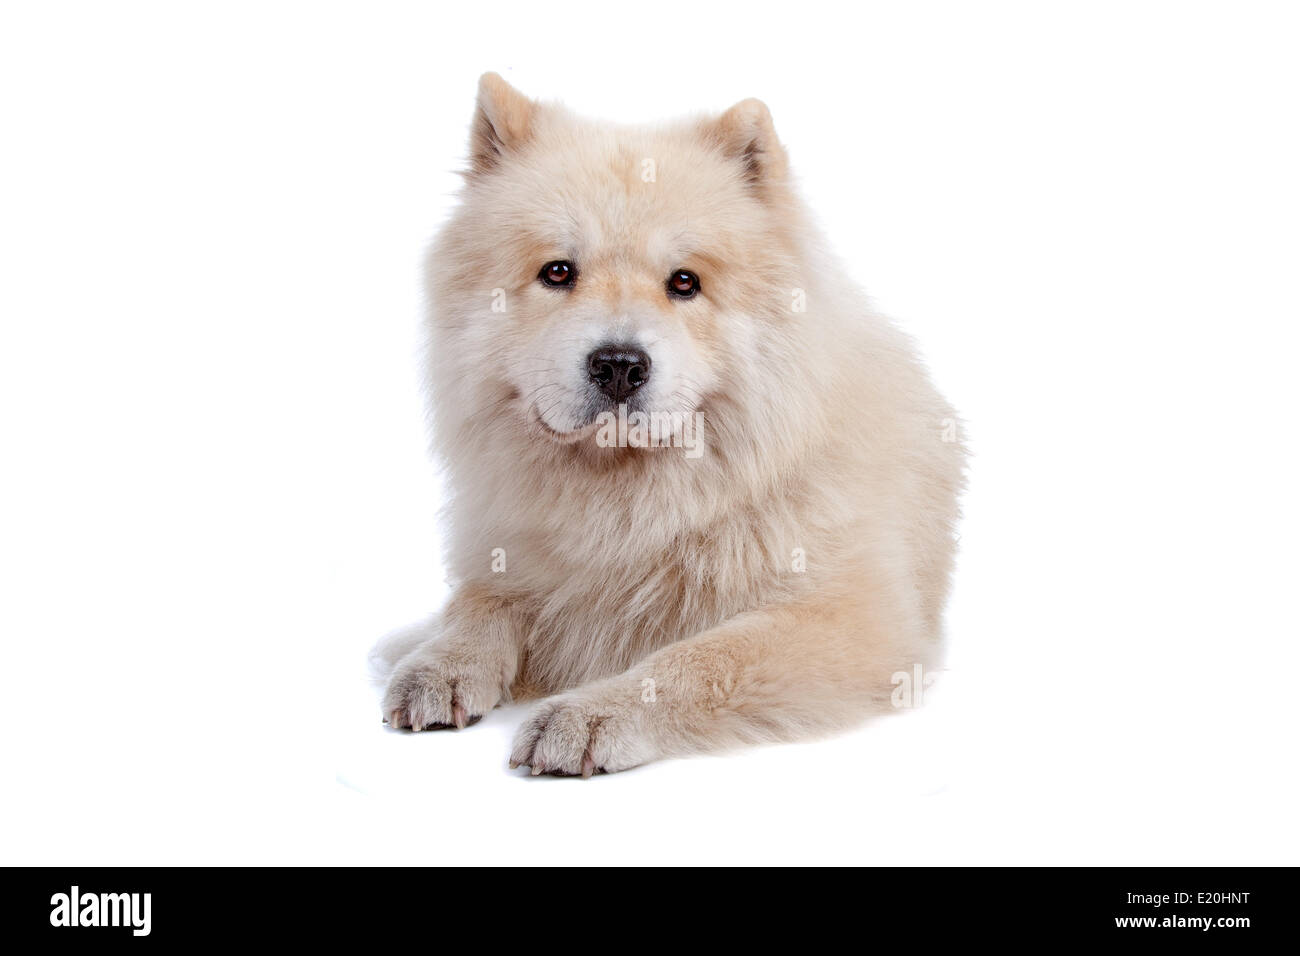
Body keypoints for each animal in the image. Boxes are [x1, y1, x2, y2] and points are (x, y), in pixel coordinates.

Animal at [377, 74, 967, 780]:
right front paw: (442, 664)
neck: (632, 502)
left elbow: (696, 660)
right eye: (558, 272)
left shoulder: (848, 618)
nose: (619, 365)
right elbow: (477, 602)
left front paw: (588, 714)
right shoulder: (505, 553)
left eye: (684, 282)